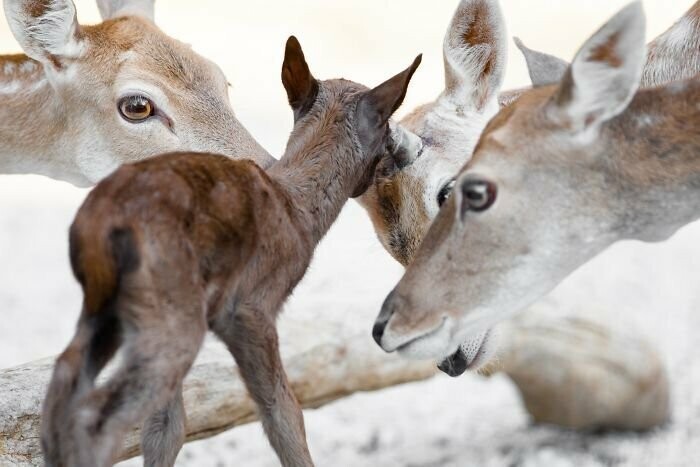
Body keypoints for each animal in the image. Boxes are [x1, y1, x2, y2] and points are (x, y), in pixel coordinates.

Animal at [41, 36, 418, 467]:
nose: (402, 158)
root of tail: (98, 225)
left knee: (65, 382)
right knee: (99, 412)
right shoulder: (249, 308)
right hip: (171, 314)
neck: (298, 209)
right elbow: (283, 412)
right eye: (387, 132)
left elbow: (167, 426)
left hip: (114, 309)